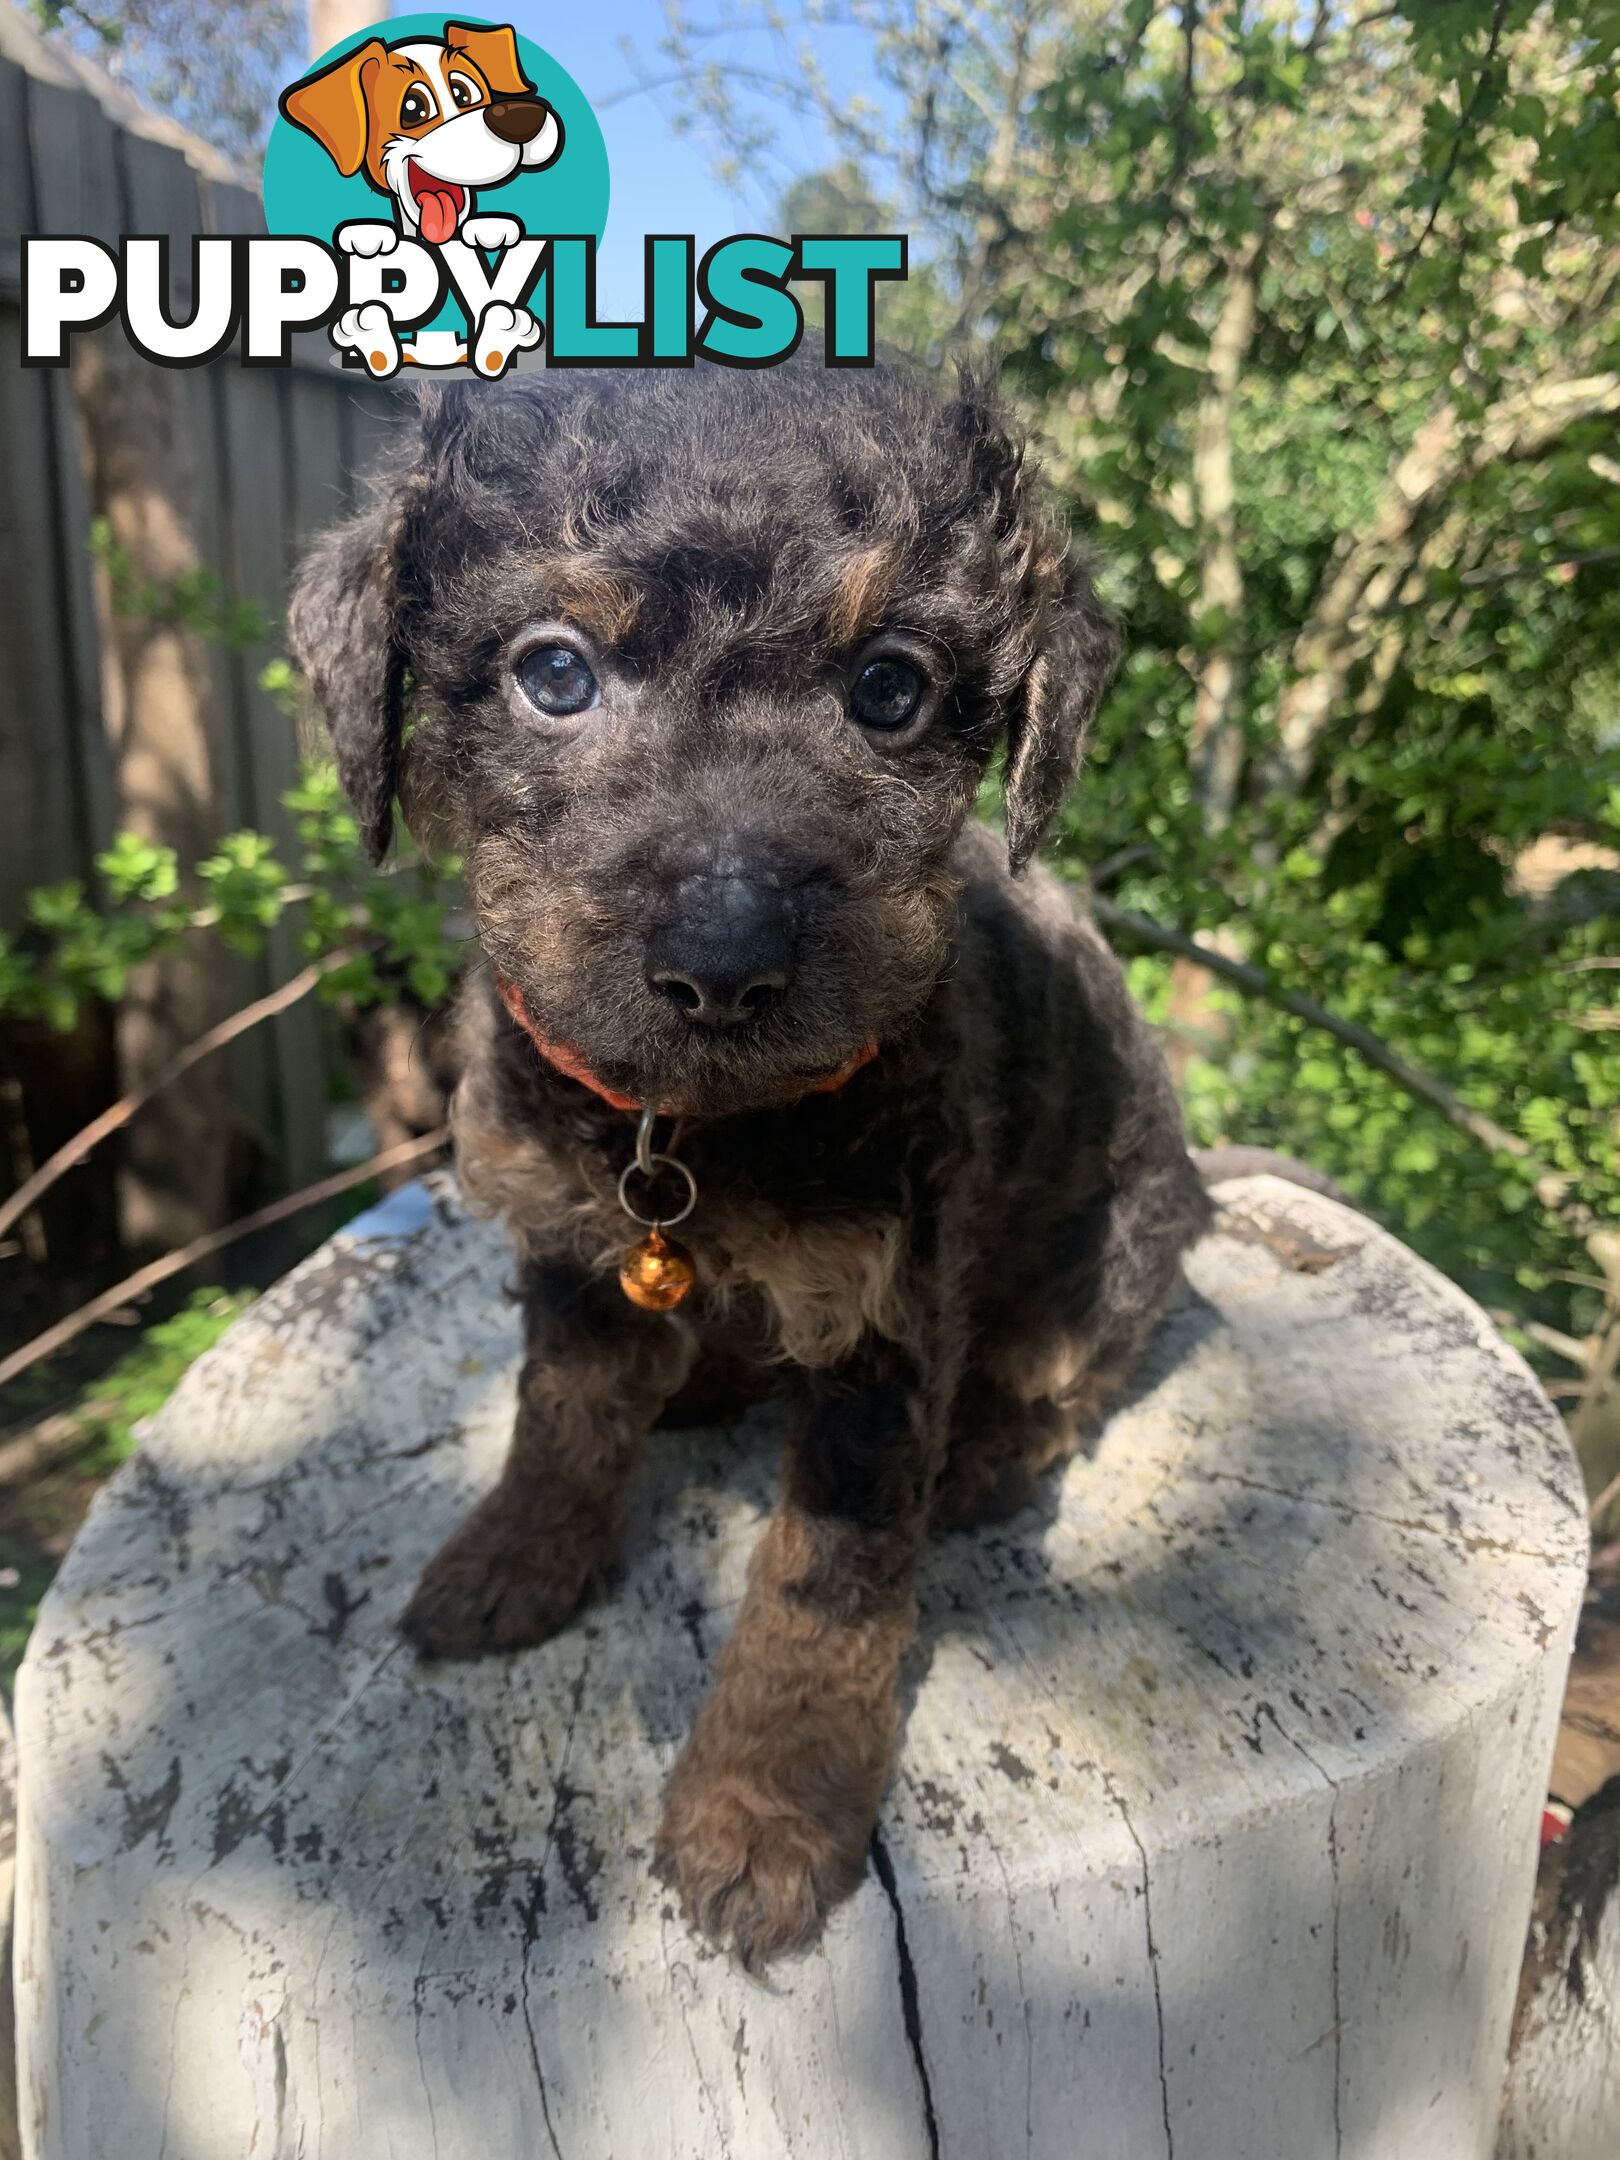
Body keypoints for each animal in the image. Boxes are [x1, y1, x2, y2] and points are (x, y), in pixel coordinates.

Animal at [289, 362, 1209, 1969]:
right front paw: (516, 1557)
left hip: (1112, 1249)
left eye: (891, 688)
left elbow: (823, 1584)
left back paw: (981, 1458)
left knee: (1061, 1380)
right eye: (554, 672)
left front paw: (763, 1812)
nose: (724, 964)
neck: (692, 1130)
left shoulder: (886, 1322)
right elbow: (560, 1411)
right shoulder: (564, 1235)